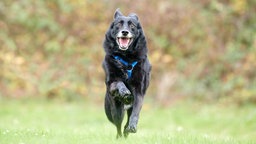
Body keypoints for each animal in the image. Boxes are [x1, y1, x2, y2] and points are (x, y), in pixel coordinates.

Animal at [101, 8, 150, 138]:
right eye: (119, 24)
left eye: (132, 25)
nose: (124, 32)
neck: (126, 56)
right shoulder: (112, 82)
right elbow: (119, 83)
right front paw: (125, 92)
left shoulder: (139, 90)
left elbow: (136, 112)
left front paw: (132, 126)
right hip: (116, 109)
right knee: (118, 125)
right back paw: (119, 137)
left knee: (125, 123)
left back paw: (127, 130)